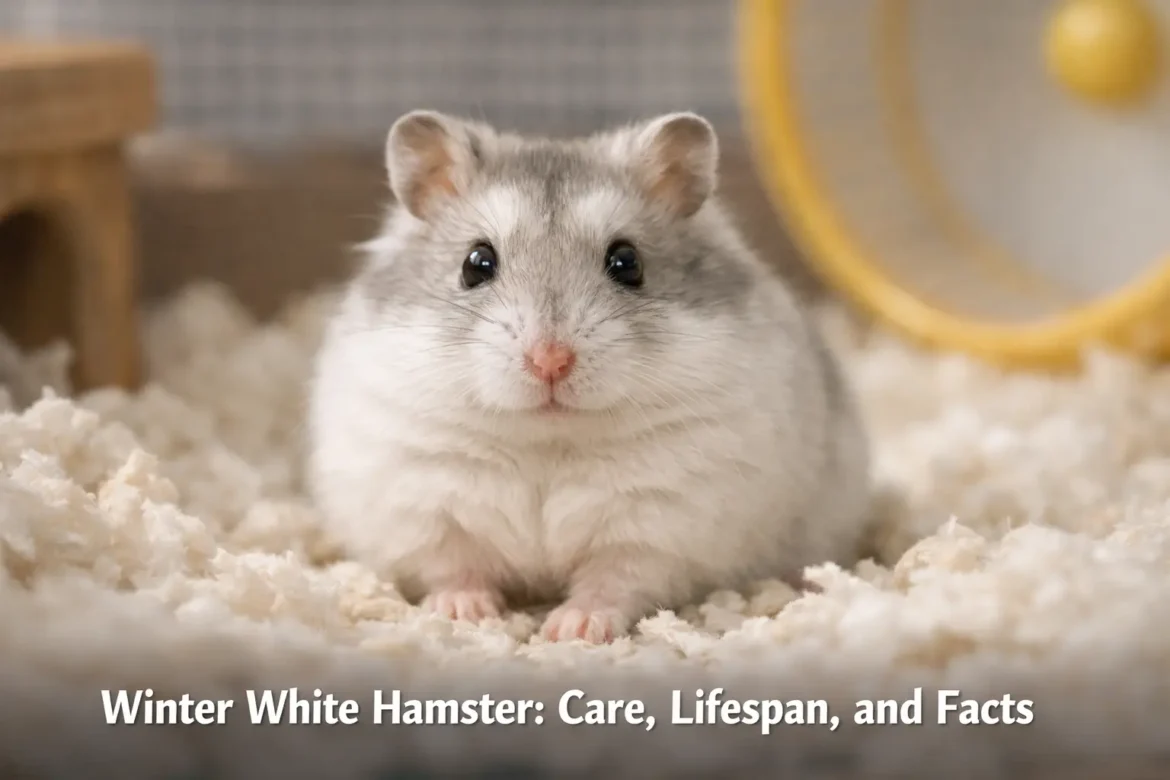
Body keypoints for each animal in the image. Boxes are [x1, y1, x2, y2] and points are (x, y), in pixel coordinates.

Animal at [307, 110, 871, 644]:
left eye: (627, 262)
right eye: (475, 263)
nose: (550, 360)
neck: (547, 438)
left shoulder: (661, 525)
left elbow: (615, 580)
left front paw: (571, 630)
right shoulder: (423, 505)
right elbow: (453, 565)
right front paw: (466, 614)